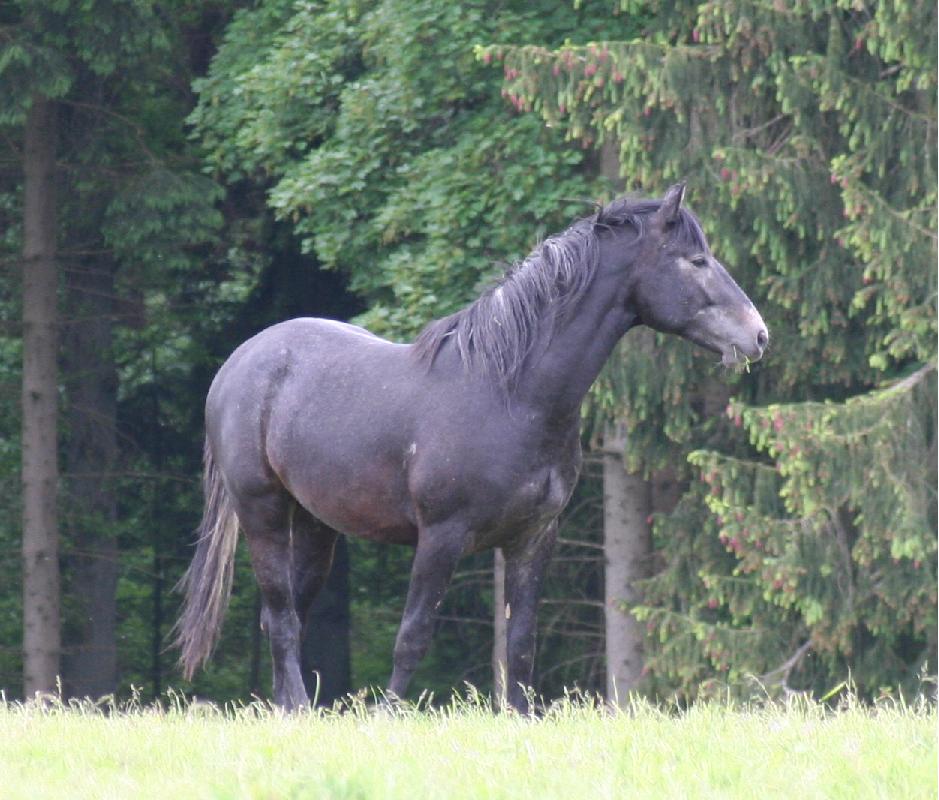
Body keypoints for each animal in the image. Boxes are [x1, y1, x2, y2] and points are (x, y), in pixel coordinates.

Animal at [173, 186, 768, 712]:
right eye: (697, 261)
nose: (758, 336)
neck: (510, 393)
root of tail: (240, 362)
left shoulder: (533, 539)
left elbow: (521, 645)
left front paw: (523, 721)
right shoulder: (442, 537)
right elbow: (413, 635)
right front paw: (388, 718)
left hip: (318, 527)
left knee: (285, 614)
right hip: (264, 513)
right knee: (281, 615)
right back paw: (296, 708)